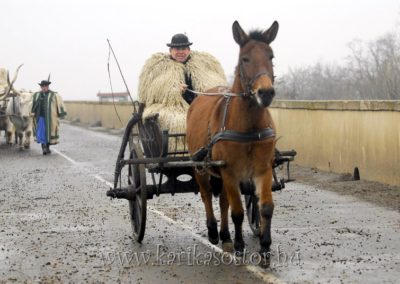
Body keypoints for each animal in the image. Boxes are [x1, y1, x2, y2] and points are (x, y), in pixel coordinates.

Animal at [187, 21, 278, 268]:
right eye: (244, 58)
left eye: (271, 56)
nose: (266, 92)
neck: (248, 127)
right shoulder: (230, 171)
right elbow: (237, 211)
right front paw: (239, 246)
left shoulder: (263, 169)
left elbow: (265, 207)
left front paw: (265, 248)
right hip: (201, 166)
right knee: (207, 194)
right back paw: (214, 232)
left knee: (223, 200)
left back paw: (226, 236)